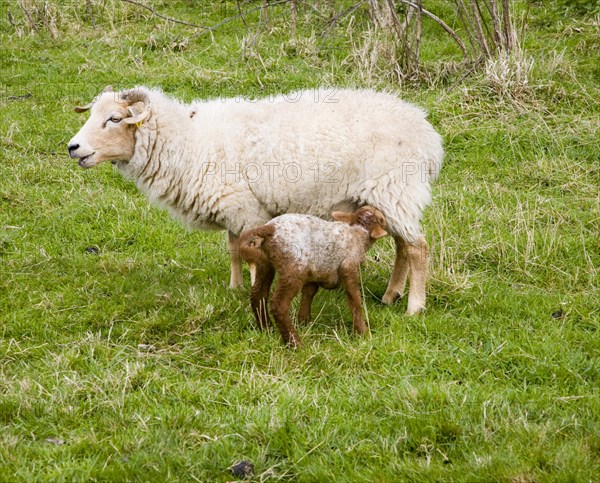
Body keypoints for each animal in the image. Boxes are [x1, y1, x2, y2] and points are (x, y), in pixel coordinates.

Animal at [68, 86, 442, 314]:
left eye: (114, 118)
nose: (73, 147)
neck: (187, 141)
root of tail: (429, 134)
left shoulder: (244, 208)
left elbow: (250, 256)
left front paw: (252, 292)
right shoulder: (232, 206)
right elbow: (233, 250)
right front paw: (234, 288)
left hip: (395, 189)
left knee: (417, 248)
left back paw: (414, 307)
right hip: (389, 197)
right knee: (402, 247)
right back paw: (391, 295)